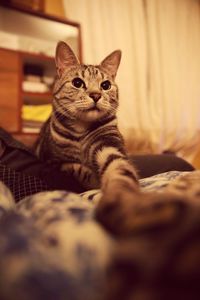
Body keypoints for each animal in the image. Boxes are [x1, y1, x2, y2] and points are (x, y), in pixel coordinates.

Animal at [34, 40, 139, 199]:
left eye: (106, 85)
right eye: (77, 83)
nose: (96, 95)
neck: (81, 130)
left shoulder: (108, 144)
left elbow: (119, 167)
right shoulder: (52, 161)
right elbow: (77, 168)